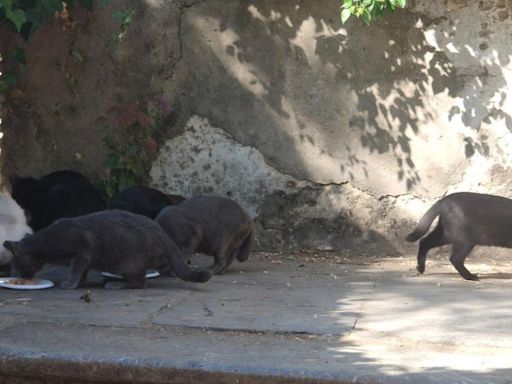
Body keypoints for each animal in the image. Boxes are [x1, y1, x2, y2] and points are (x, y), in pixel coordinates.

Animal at [3, 210, 211, 288]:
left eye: (16, 266)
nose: (20, 277)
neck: (46, 243)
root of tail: (166, 239)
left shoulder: (82, 252)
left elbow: (76, 269)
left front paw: (70, 284)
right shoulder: (84, 258)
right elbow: (82, 272)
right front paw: (80, 283)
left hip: (126, 263)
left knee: (140, 282)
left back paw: (116, 284)